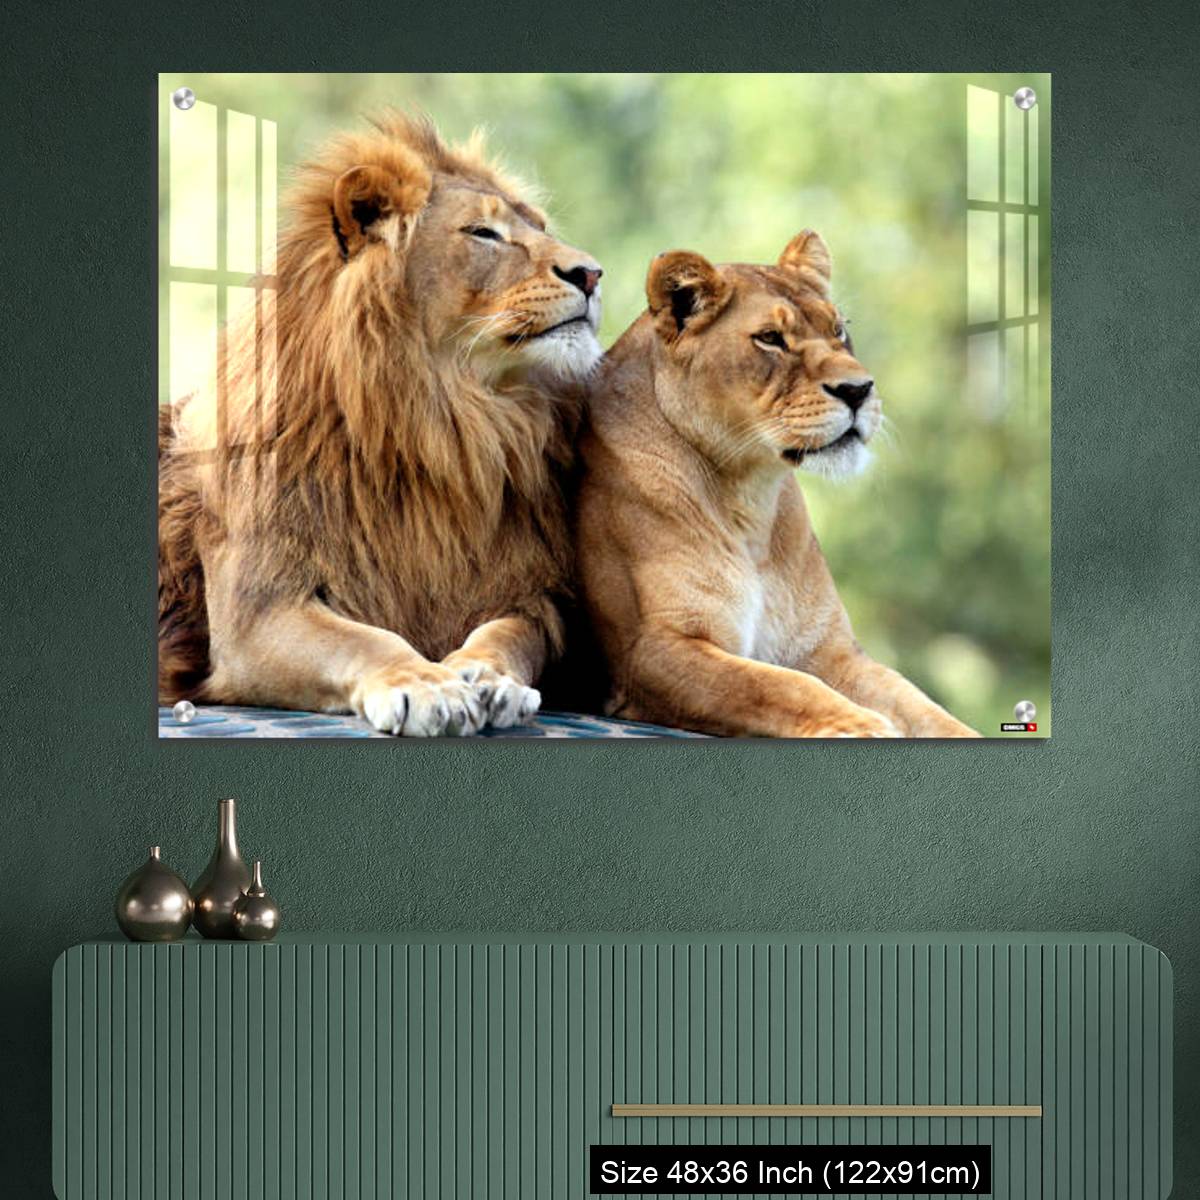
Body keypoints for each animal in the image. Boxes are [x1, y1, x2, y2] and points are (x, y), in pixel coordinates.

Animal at [159, 114, 604, 735]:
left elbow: (509, 635)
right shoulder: (256, 612)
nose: (592, 274)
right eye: (483, 233)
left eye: (539, 227)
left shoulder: (532, 595)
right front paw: (425, 685)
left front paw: (489, 677)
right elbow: (365, 640)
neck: (446, 425)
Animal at [574, 232, 979, 738]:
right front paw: (862, 725)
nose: (858, 390)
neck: (749, 497)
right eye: (770, 339)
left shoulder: (827, 649)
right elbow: (777, 685)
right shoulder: (651, 651)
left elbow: (918, 703)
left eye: (838, 330)